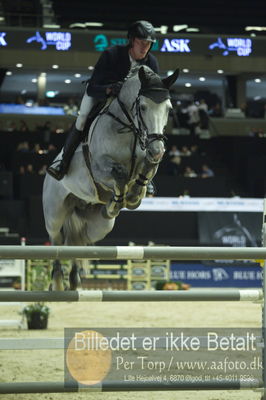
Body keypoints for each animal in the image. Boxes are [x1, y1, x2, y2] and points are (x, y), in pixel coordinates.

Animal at [42, 66, 178, 290]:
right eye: (142, 107)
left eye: (168, 108)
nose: (157, 150)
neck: (131, 129)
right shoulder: (99, 169)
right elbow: (120, 174)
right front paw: (119, 202)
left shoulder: (146, 158)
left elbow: (147, 169)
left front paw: (134, 195)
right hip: (54, 214)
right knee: (56, 241)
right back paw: (58, 283)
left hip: (99, 227)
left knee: (75, 242)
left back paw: (74, 281)